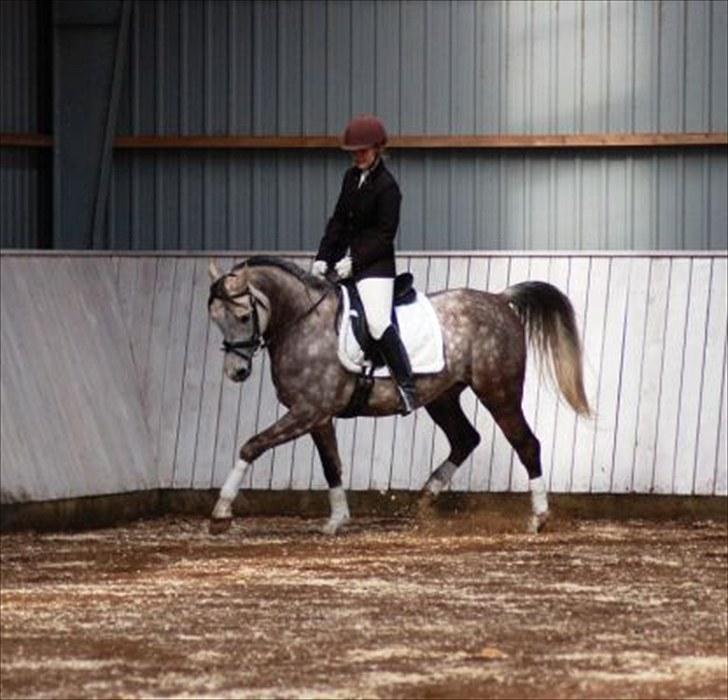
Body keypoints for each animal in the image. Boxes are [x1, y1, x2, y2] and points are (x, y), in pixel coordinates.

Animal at [206, 258, 592, 536]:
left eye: (243, 316)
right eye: (215, 319)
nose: (236, 372)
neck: (303, 322)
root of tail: (498, 299)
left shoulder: (307, 411)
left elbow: (252, 446)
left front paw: (221, 513)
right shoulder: (318, 416)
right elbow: (332, 465)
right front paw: (337, 520)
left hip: (499, 391)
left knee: (526, 444)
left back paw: (538, 517)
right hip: (442, 396)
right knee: (465, 438)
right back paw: (424, 500)